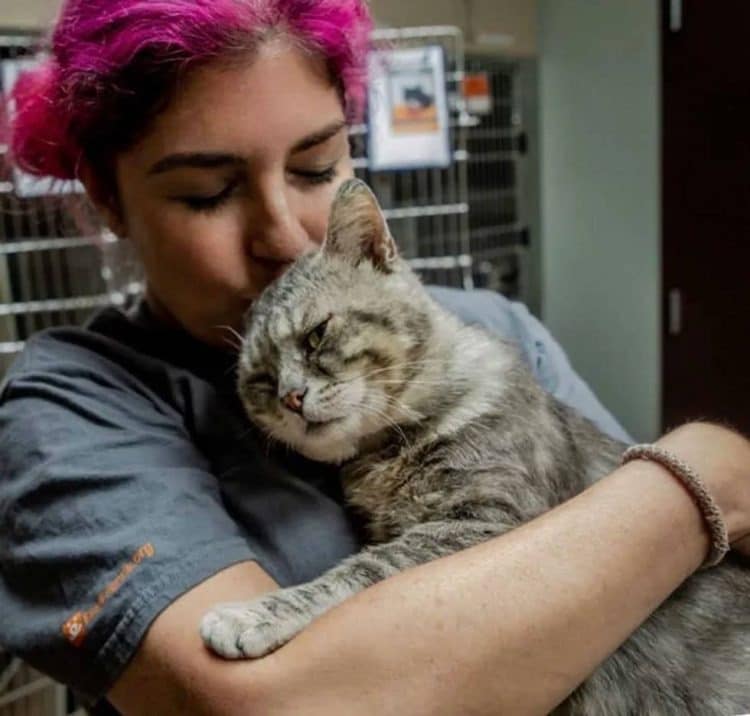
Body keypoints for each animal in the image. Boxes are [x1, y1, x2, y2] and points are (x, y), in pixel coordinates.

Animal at [203, 178, 750, 712]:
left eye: (317, 335)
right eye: (260, 379)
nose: (290, 397)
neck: (385, 454)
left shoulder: (487, 521)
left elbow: (360, 570)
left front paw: (254, 613)